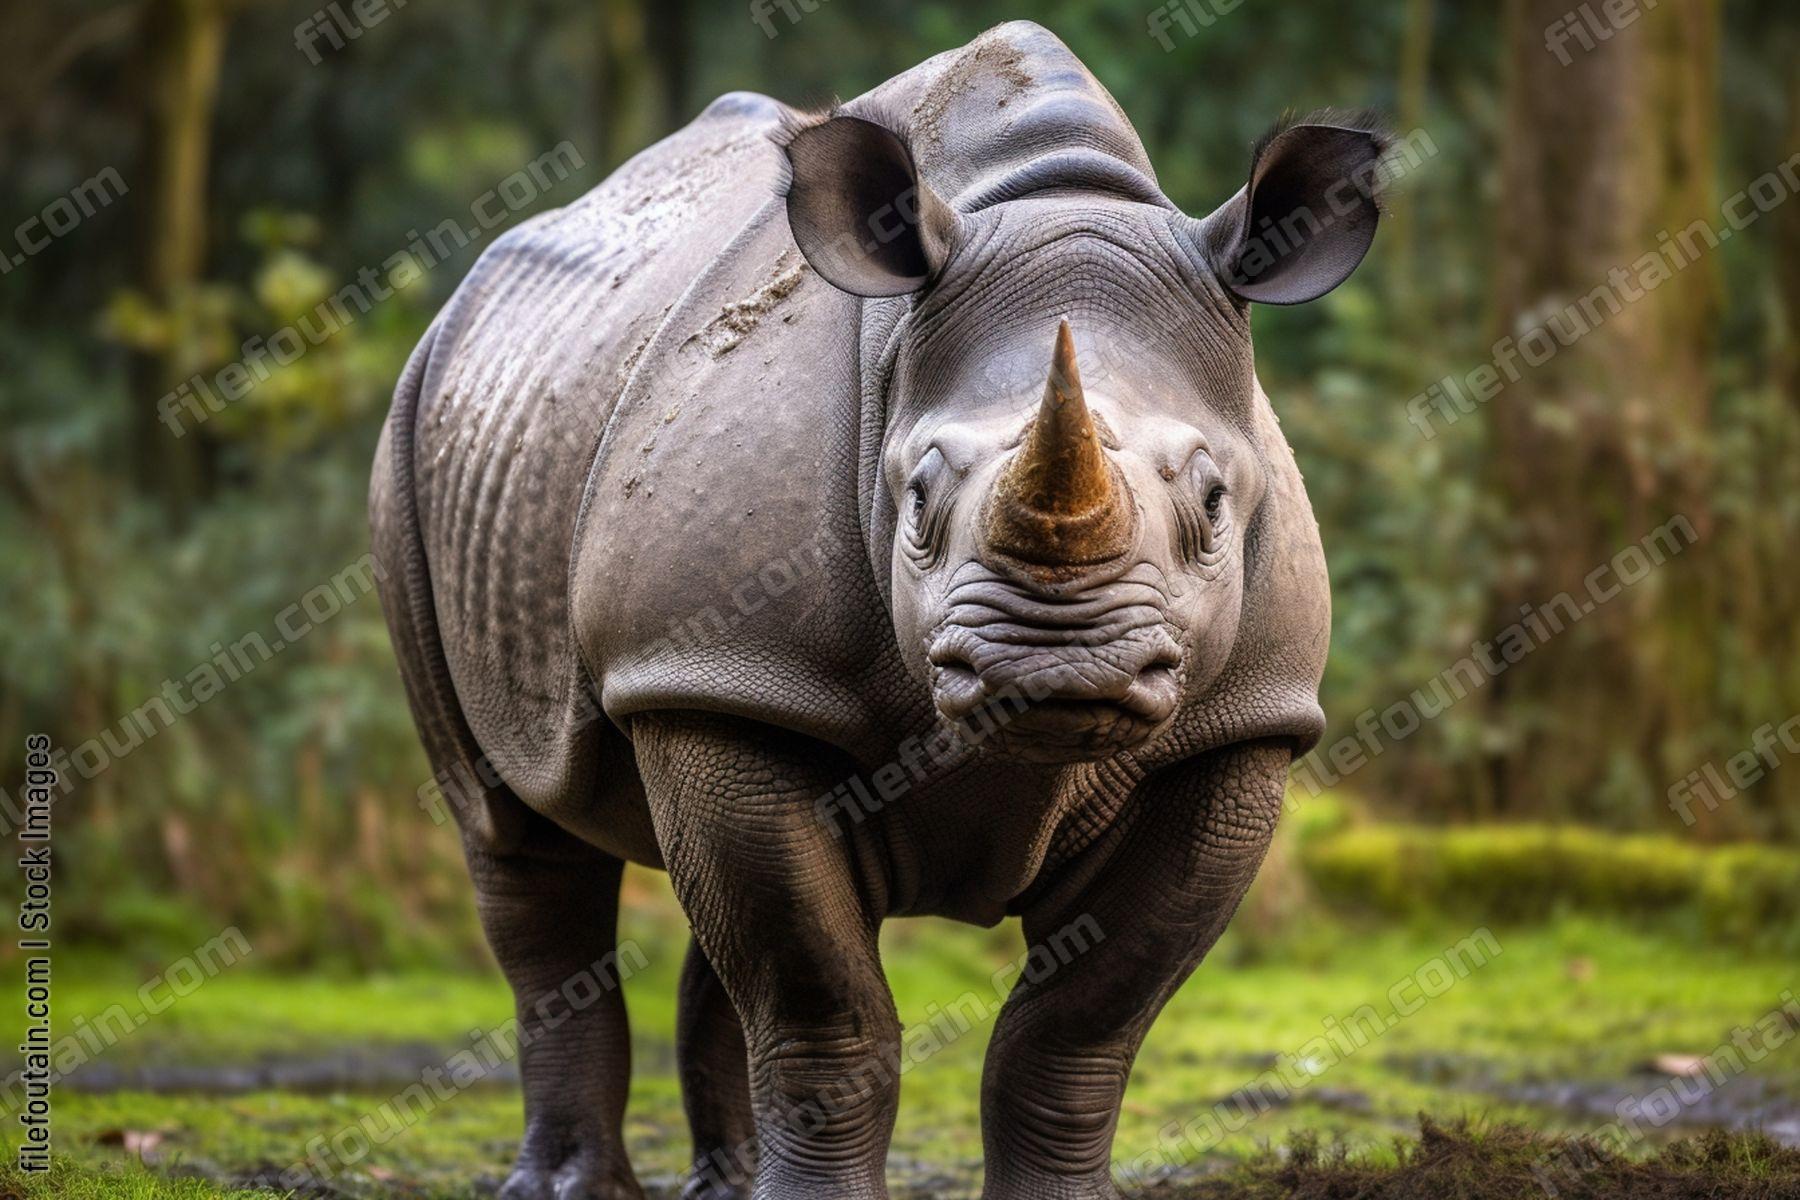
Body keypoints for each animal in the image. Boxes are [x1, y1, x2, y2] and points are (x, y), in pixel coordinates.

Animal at [371, 20, 1388, 1200]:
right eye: (918, 496)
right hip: (419, 434)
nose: (1059, 666)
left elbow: (1080, 1028)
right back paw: (571, 1183)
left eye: (1217, 502)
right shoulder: (717, 669)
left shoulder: (1242, 724)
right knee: (513, 831)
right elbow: (823, 1006)